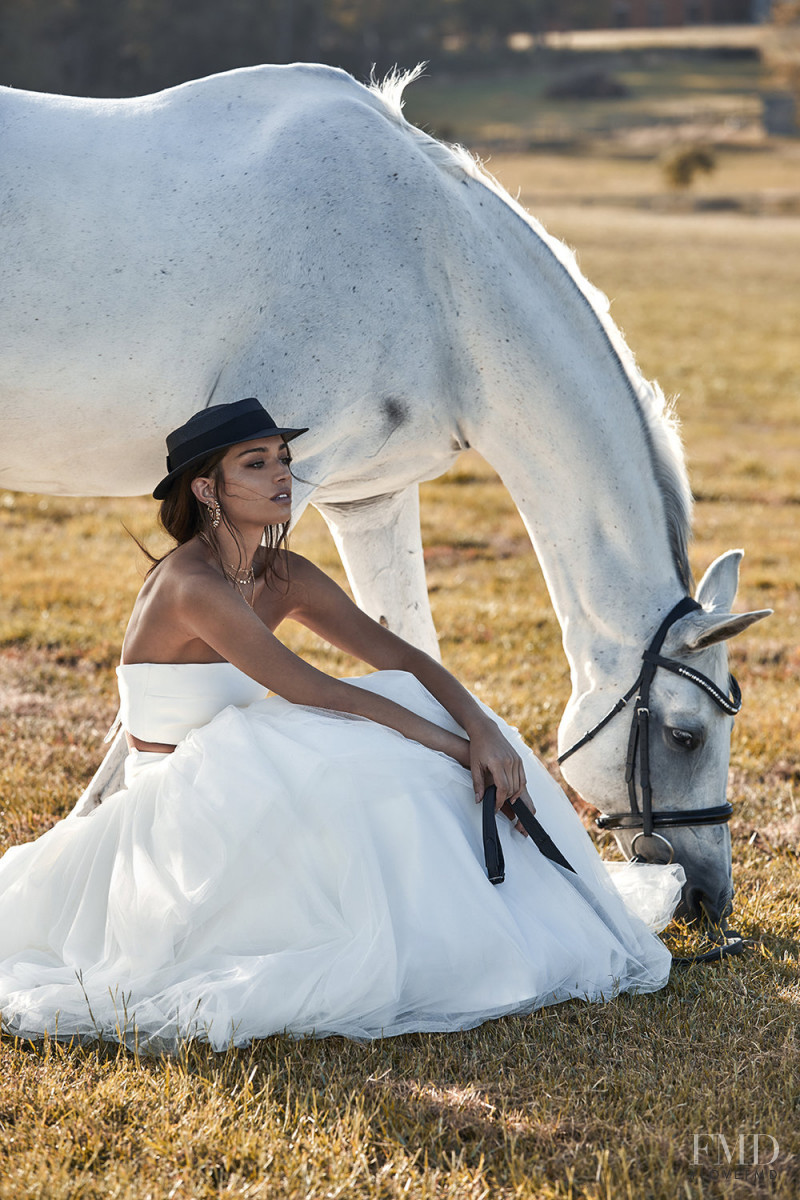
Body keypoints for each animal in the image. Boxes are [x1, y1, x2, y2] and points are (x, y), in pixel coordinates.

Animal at [0, 63, 767, 926]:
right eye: (684, 737)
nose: (708, 897)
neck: (438, 274)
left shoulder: (369, 500)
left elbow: (414, 656)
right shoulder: (285, 485)